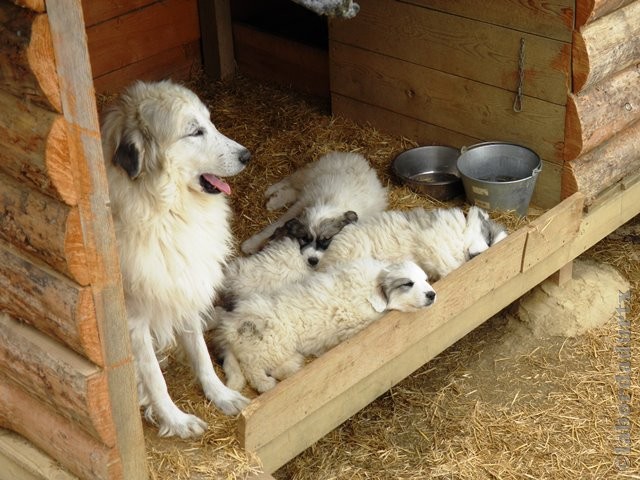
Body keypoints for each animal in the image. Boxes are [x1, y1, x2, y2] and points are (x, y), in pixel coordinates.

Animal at [100, 79, 250, 438]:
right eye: (195, 131)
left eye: (210, 122)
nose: (247, 156)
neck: (166, 213)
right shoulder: (134, 322)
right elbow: (156, 381)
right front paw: (176, 420)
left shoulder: (184, 286)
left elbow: (201, 355)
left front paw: (220, 395)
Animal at [218, 256, 438, 392]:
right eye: (408, 283)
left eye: (426, 280)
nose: (432, 294)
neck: (367, 290)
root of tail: (230, 328)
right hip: (271, 344)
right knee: (252, 368)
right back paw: (266, 383)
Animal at [241, 151, 388, 266]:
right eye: (305, 238)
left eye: (327, 239)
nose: (312, 261)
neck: (330, 204)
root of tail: (359, 158)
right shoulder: (299, 206)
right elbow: (274, 226)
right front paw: (250, 244)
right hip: (309, 174)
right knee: (291, 180)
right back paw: (271, 192)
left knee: (294, 191)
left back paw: (275, 200)